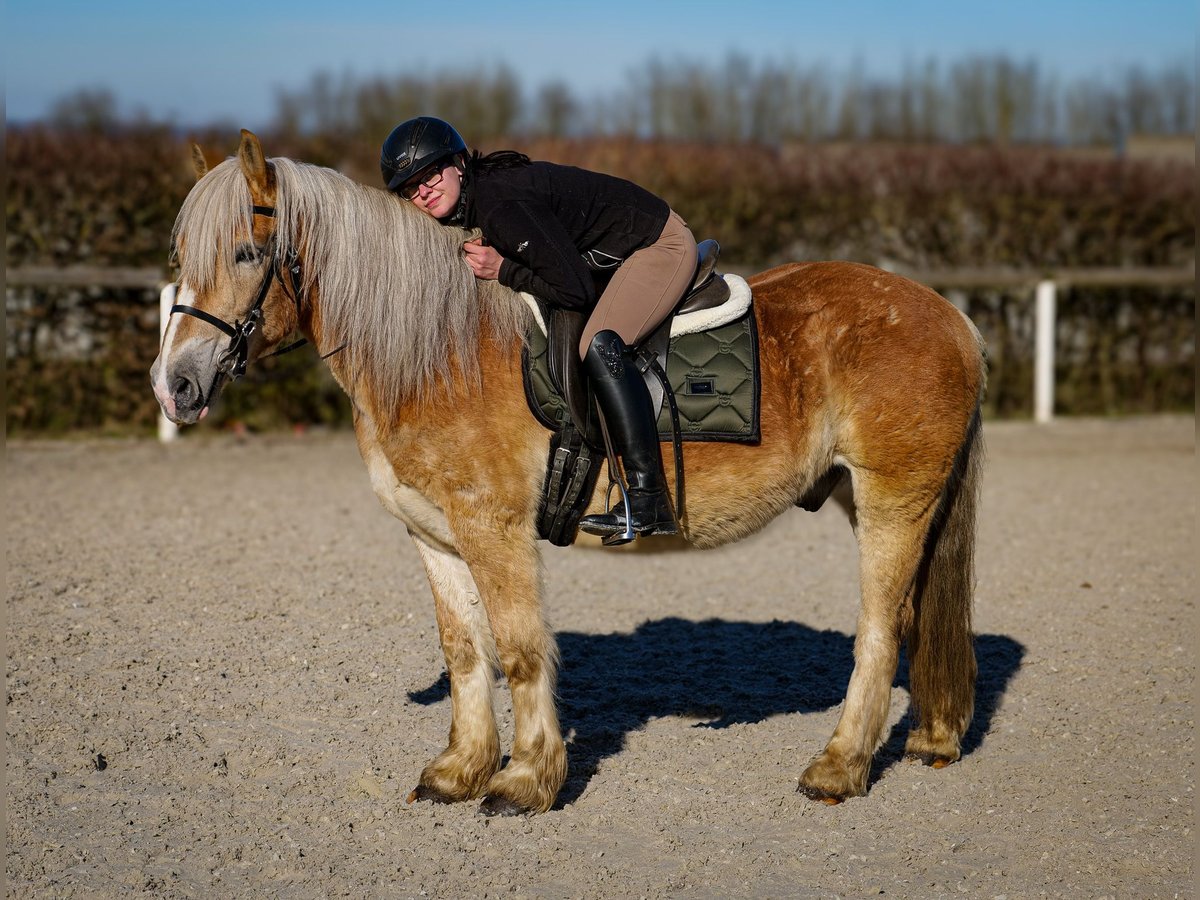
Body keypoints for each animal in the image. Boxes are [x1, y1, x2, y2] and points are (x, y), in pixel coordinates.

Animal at [152, 132, 984, 816]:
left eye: (246, 253)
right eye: (180, 257)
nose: (175, 386)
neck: (438, 351)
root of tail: (949, 315)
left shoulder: (494, 528)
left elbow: (521, 650)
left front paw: (525, 780)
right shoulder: (435, 535)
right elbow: (465, 651)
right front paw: (459, 771)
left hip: (893, 498)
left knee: (879, 631)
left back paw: (838, 767)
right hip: (875, 498)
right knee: (915, 619)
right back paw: (932, 740)